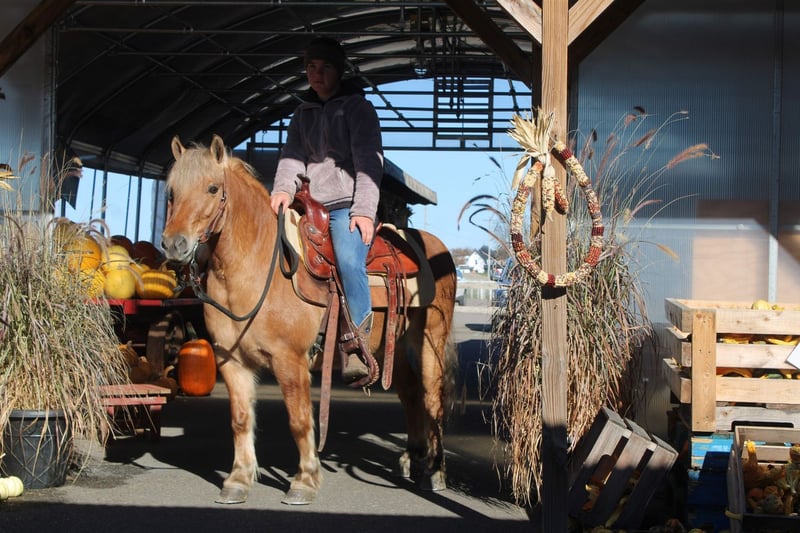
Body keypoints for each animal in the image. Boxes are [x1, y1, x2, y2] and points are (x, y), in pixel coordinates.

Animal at [160, 135, 457, 505]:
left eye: (213, 188)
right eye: (171, 191)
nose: (174, 244)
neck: (256, 267)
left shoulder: (290, 361)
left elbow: (299, 420)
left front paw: (304, 480)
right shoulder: (231, 361)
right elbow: (240, 419)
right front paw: (238, 479)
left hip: (430, 341)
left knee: (432, 397)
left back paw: (434, 470)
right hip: (398, 348)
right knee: (411, 395)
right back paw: (412, 458)